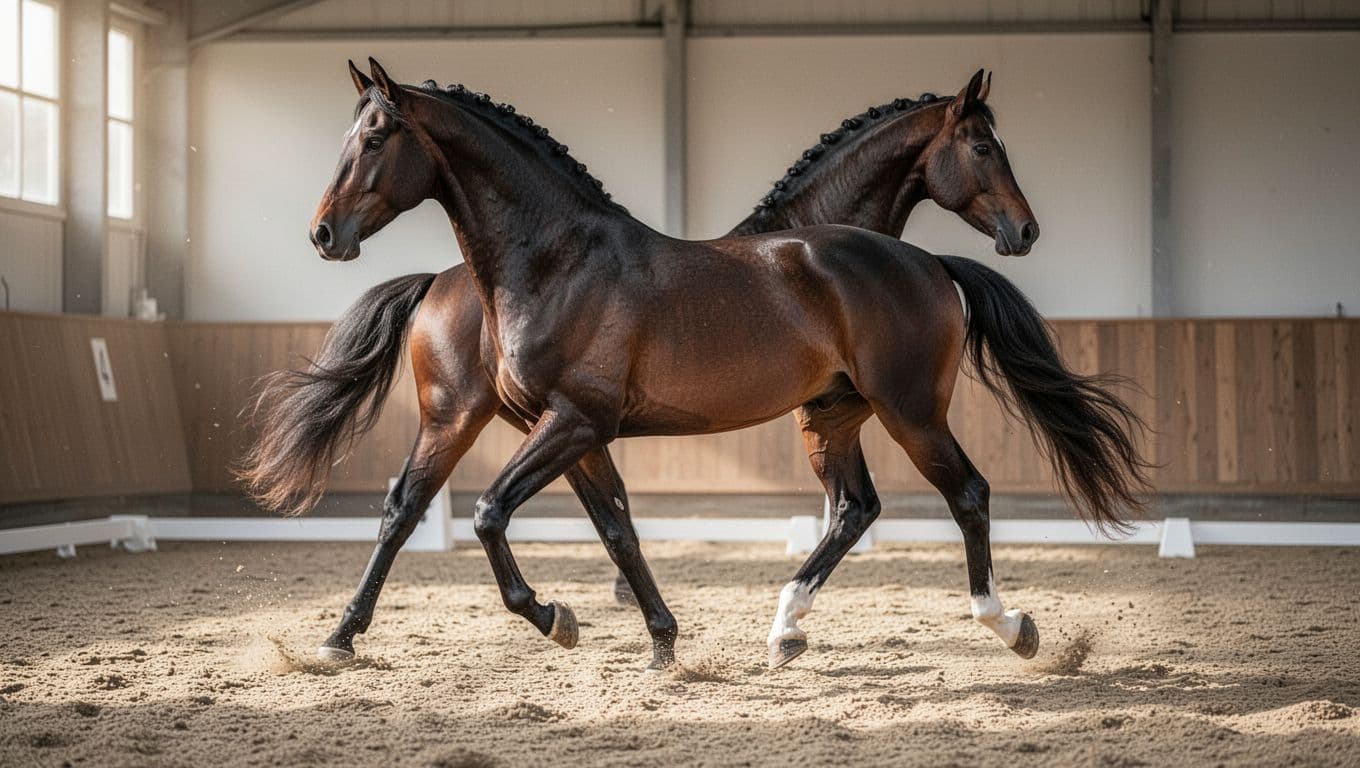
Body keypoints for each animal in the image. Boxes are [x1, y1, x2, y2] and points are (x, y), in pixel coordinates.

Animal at [294, 59, 1152, 672]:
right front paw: (656, 640)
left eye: (376, 136)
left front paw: (560, 619)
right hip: (829, 417)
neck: (557, 262)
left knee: (964, 494)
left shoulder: (574, 423)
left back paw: (1008, 626)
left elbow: (495, 514)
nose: (325, 235)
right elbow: (610, 526)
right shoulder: (575, 428)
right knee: (858, 508)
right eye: (980, 147)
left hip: (908, 411)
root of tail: (927, 263)